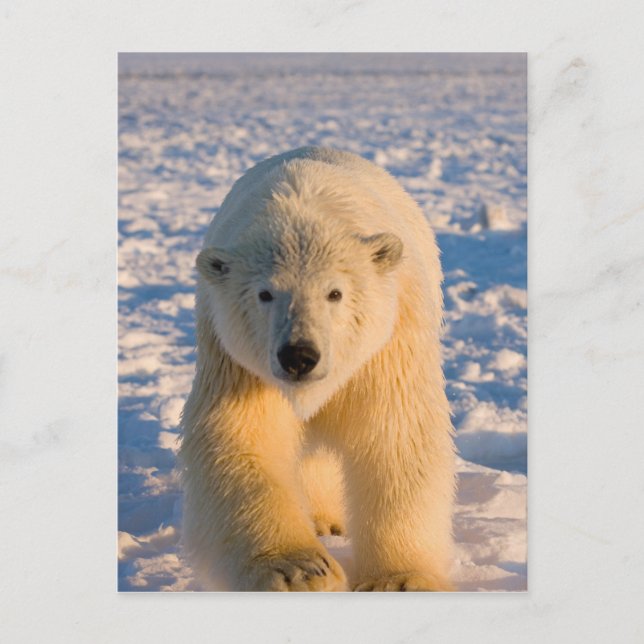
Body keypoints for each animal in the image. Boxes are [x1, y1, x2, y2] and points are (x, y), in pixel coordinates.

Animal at [179, 146, 455, 591]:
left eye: (335, 293)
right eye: (265, 293)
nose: (299, 356)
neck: (304, 208)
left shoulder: (387, 345)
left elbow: (394, 434)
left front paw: (400, 580)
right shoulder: (236, 359)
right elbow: (242, 434)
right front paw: (300, 570)